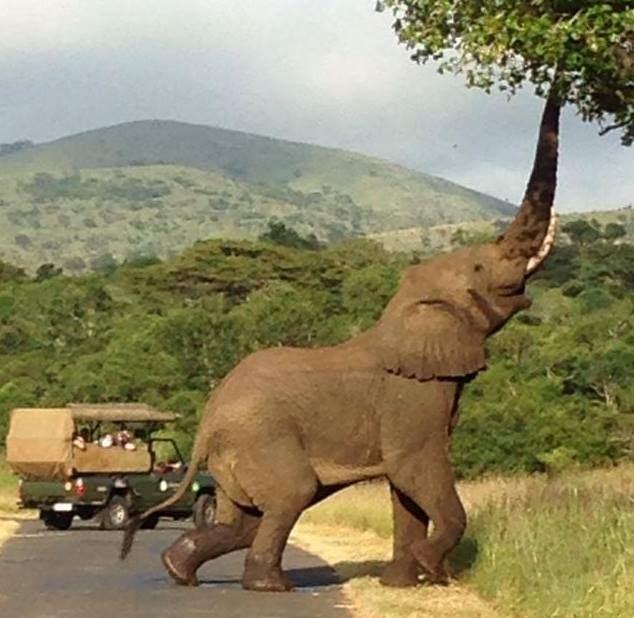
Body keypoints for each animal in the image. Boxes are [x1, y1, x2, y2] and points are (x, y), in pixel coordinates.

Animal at [121, 89, 561, 593]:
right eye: (480, 268)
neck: (402, 310)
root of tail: (204, 427)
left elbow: (404, 488)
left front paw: (401, 584)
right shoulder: (411, 393)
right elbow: (413, 467)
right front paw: (431, 569)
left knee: (242, 522)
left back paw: (180, 571)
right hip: (260, 438)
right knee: (288, 496)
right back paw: (271, 586)